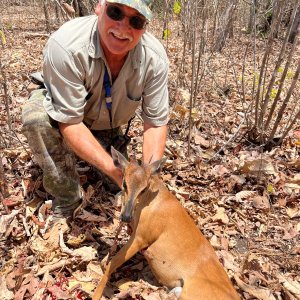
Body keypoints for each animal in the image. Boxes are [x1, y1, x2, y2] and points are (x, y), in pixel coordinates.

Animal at [92, 148, 240, 300]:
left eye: (144, 188)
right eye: (125, 184)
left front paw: (96, 294)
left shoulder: (142, 236)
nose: (126, 216)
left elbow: (112, 263)